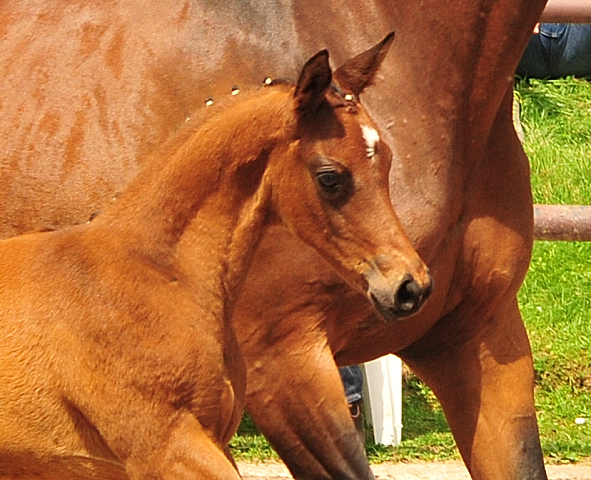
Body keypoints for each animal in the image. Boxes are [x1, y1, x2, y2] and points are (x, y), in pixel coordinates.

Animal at [1, 0, 552, 480]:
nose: (410, 285)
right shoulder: (263, 378)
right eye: (331, 177)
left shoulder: (477, 337)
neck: (154, 269)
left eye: (389, 160)